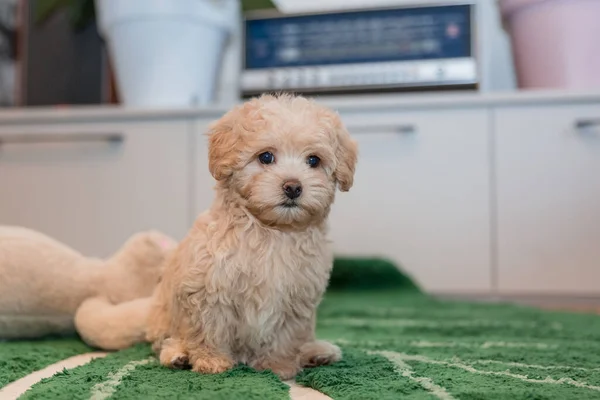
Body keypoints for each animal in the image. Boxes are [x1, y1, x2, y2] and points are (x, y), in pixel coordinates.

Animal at [146, 93, 356, 378]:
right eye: (265, 157)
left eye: (314, 160)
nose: (293, 187)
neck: (271, 232)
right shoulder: (209, 286)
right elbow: (209, 328)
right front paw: (212, 361)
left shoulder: (297, 298)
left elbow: (285, 336)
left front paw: (278, 366)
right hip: (162, 315)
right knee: (165, 340)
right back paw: (178, 354)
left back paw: (316, 352)